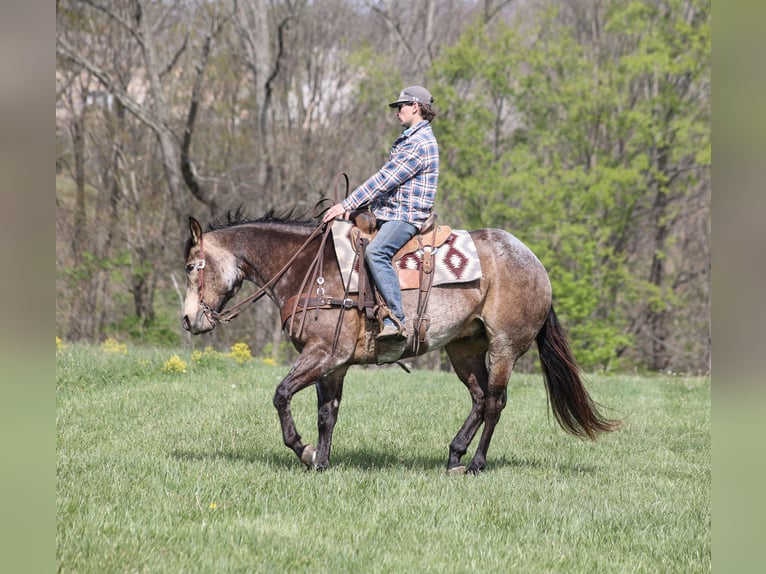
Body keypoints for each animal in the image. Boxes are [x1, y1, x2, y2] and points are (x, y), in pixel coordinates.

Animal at [181, 210, 619, 473]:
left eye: (190, 267)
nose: (188, 320)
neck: (312, 270)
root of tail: (535, 263)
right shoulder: (333, 364)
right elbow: (327, 414)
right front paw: (321, 462)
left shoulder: (324, 354)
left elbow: (281, 394)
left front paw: (304, 452)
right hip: (463, 347)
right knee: (479, 399)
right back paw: (454, 456)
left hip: (504, 347)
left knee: (495, 403)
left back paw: (476, 463)